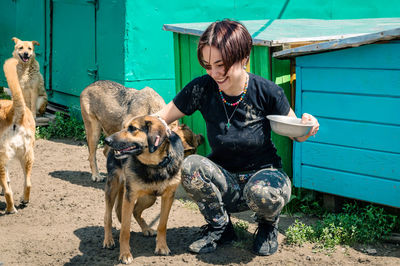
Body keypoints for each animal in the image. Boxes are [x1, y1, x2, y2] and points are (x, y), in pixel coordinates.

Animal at [103, 115, 184, 264]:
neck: (155, 165)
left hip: (149, 197)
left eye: (133, 128)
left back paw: (146, 229)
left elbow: (162, 224)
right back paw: (108, 240)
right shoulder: (130, 196)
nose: (107, 140)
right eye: (125, 127)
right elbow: (125, 230)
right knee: (108, 216)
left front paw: (162, 247)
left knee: (136, 211)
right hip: (113, 186)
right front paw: (125, 254)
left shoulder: (168, 196)